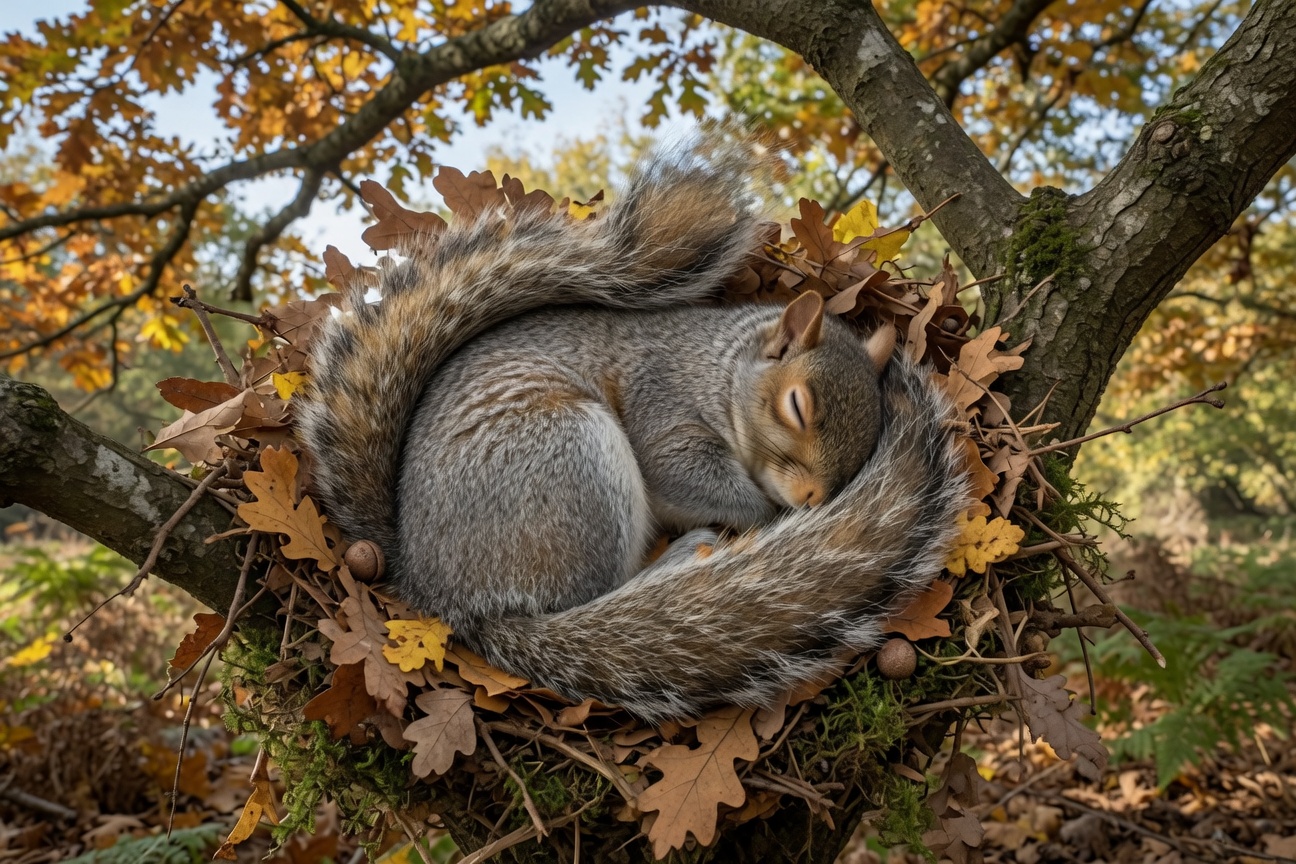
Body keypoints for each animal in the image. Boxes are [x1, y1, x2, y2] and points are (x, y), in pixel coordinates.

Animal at [298, 139, 971, 722]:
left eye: (866, 445)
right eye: (798, 406)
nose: (813, 500)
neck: (718, 367)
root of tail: (439, 591)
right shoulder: (662, 405)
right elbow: (687, 473)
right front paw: (765, 514)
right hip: (570, 453)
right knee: (600, 589)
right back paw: (680, 556)